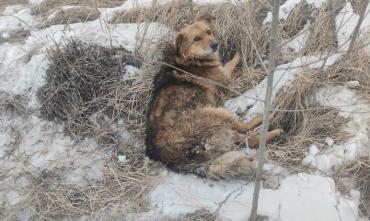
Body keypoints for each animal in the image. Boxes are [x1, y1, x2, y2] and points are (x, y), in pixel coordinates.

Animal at [145, 16, 284, 180]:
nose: (215, 45)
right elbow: (231, 63)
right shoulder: (225, 77)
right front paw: (239, 55)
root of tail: (170, 157)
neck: (189, 58)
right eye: (196, 39)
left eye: (208, 32)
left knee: (248, 140)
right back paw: (267, 119)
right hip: (216, 112)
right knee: (245, 130)